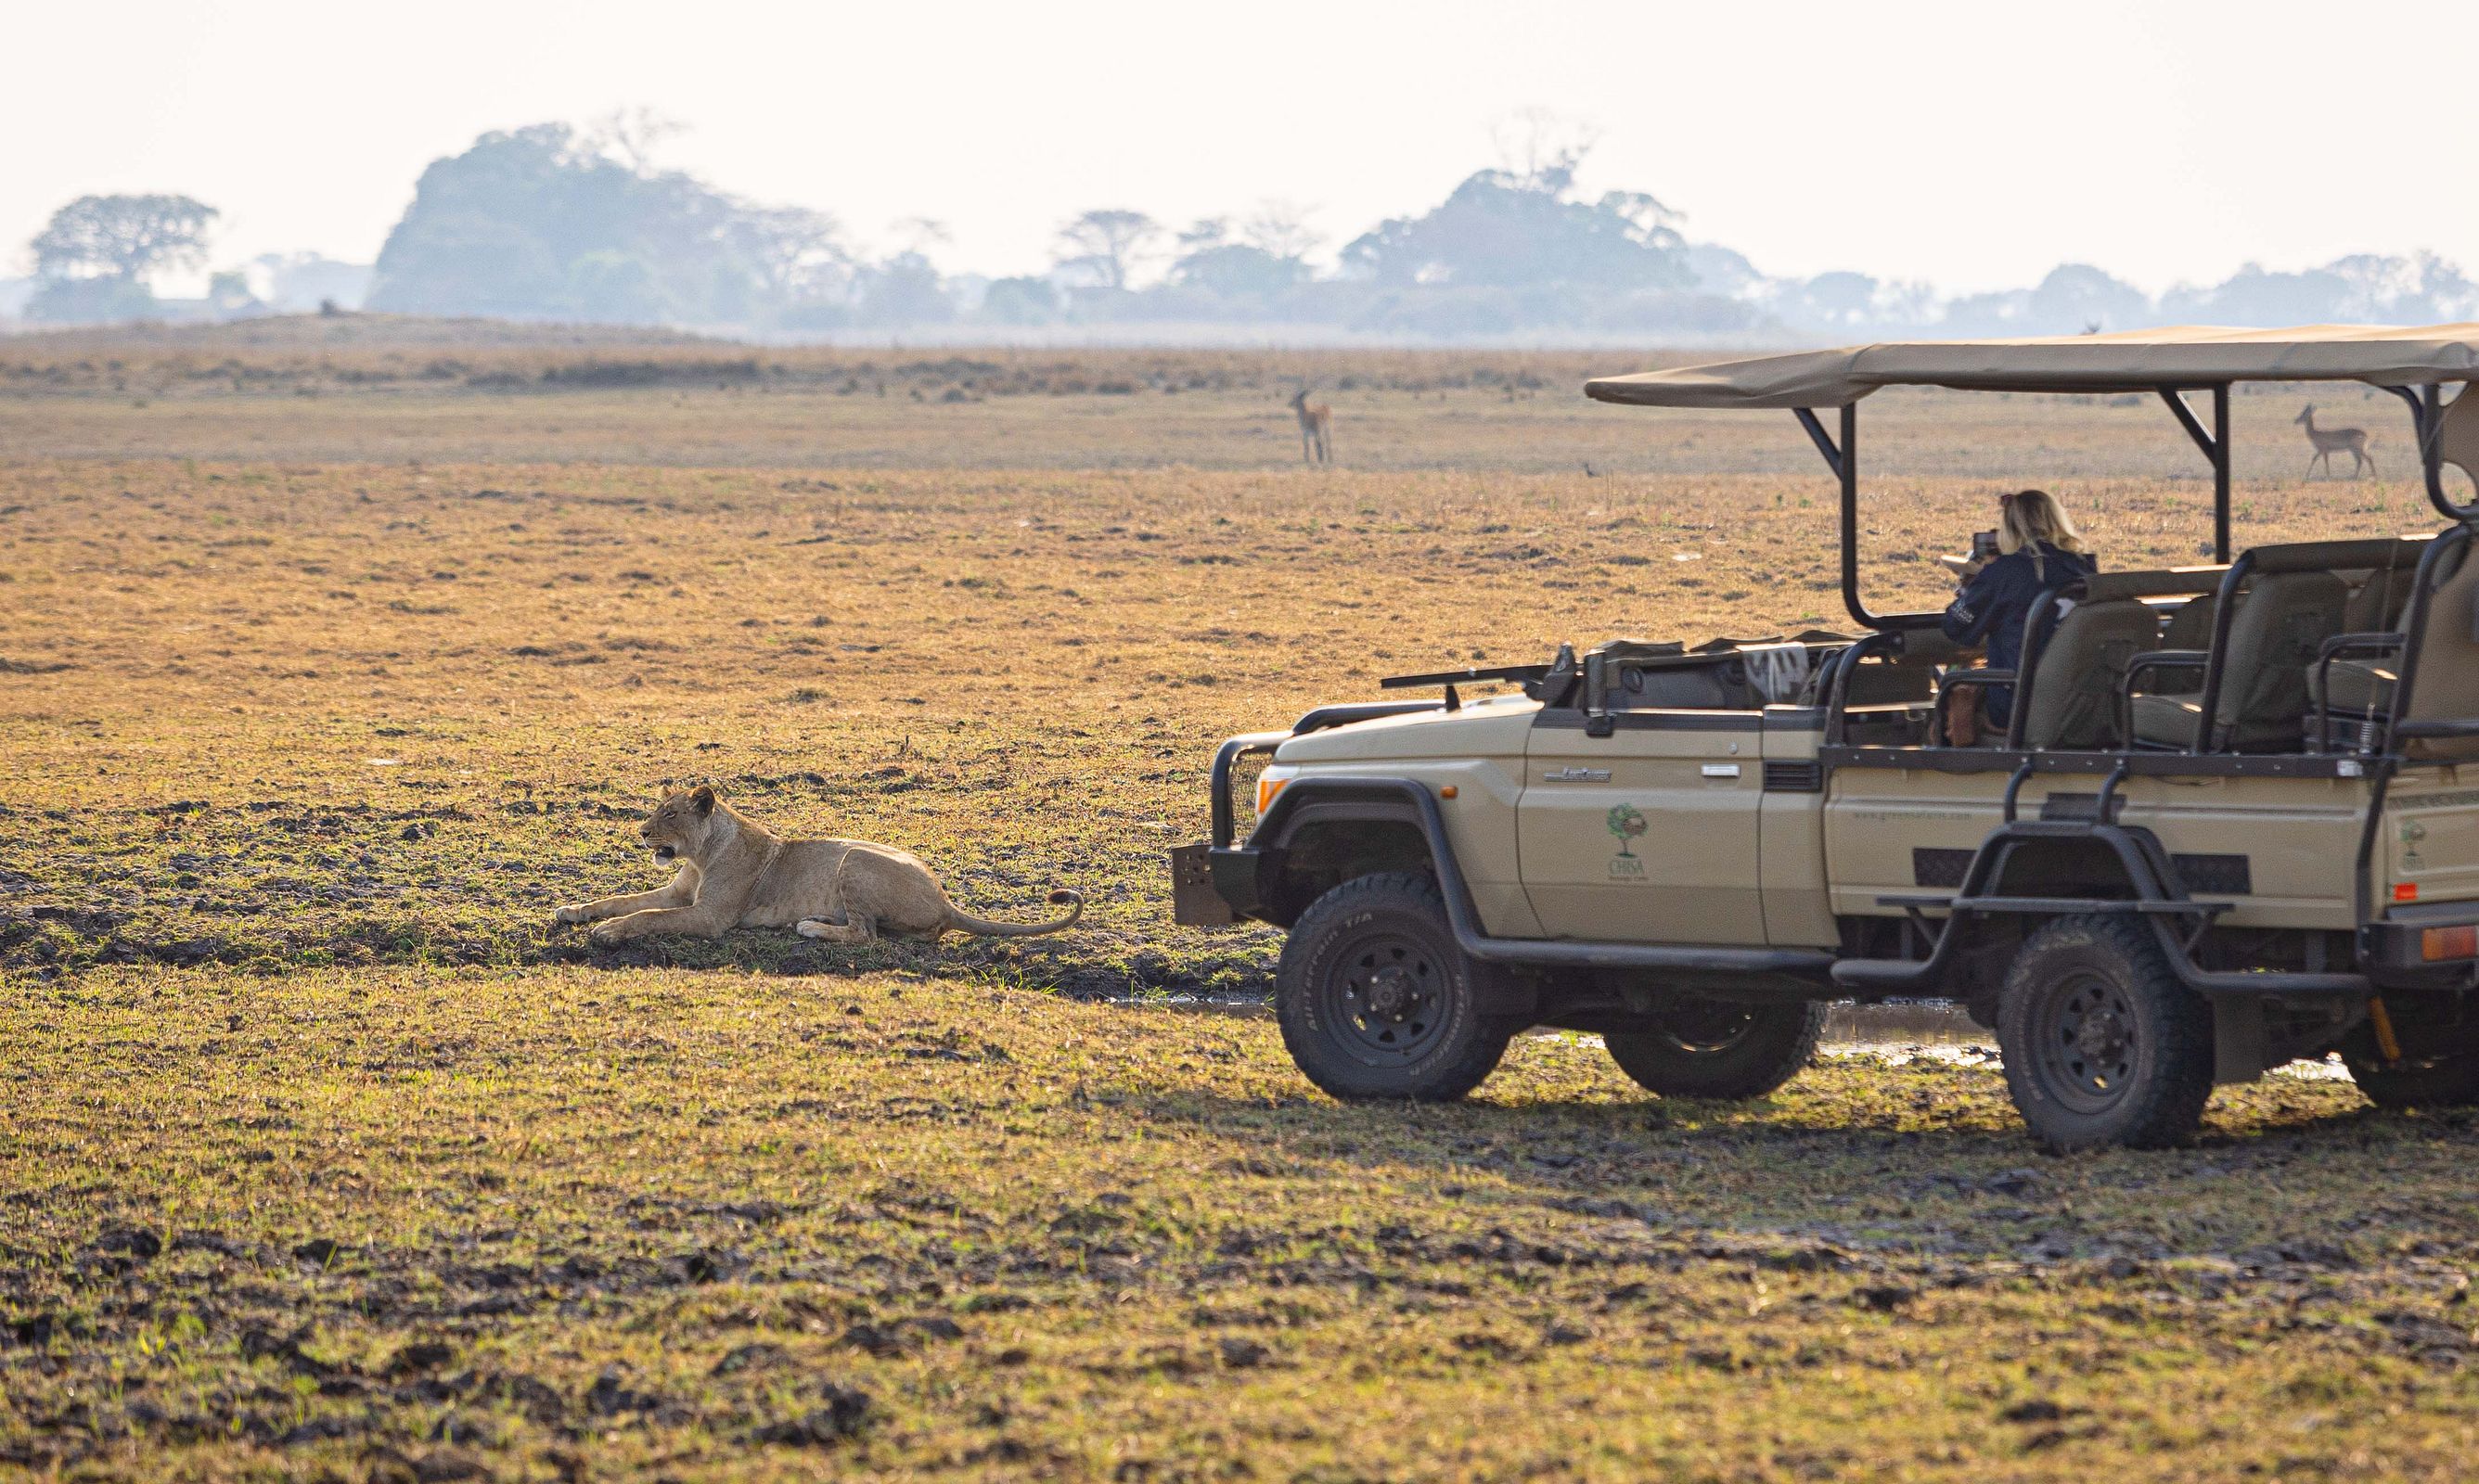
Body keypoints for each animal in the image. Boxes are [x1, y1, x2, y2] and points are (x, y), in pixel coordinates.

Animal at [555, 785, 1083, 946]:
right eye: (656, 811)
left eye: (670, 815)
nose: (642, 833)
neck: (701, 857)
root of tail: (946, 899)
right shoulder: (678, 894)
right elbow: (623, 899)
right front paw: (575, 911)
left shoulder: (711, 917)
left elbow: (647, 916)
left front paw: (609, 932)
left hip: (855, 859)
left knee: (866, 934)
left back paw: (811, 926)